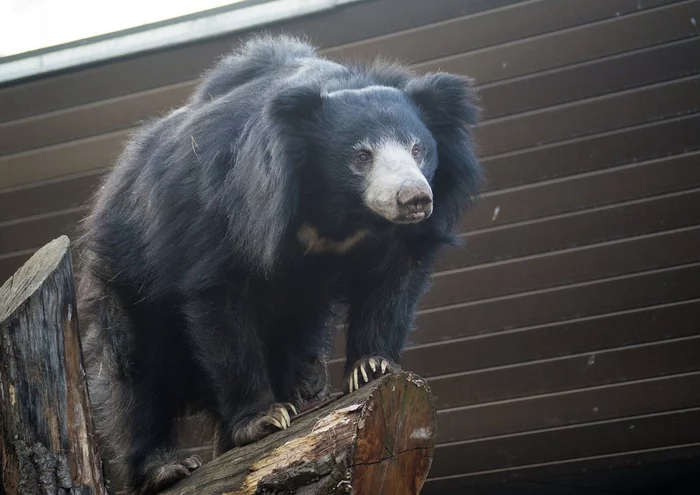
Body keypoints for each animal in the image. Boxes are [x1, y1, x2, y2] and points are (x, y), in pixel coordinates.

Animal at [75, 35, 482, 495]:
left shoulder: (393, 239)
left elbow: (394, 280)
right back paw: (165, 466)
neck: (339, 212)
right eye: (361, 156)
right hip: (130, 268)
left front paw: (372, 366)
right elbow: (220, 300)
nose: (414, 199)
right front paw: (263, 420)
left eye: (418, 149)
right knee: (139, 365)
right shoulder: (231, 210)